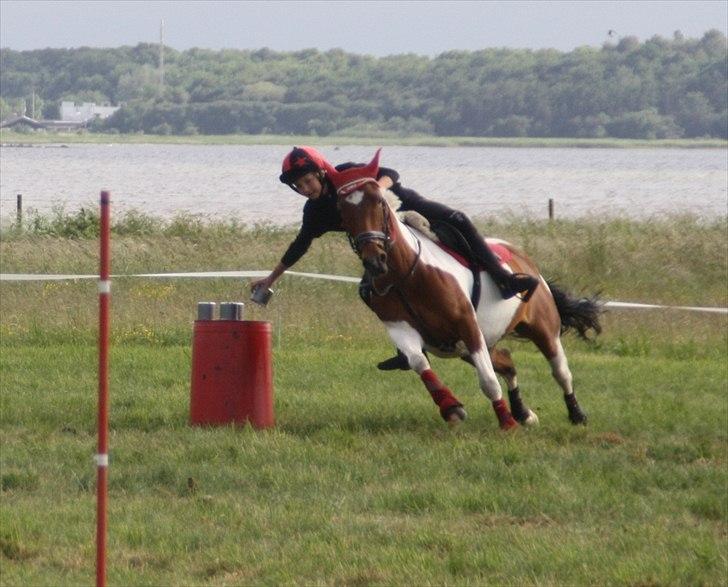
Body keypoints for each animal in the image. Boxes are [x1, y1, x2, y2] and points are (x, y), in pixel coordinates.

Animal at [322, 149, 602, 430]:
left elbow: (488, 382)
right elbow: (419, 362)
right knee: (508, 363)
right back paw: (523, 412)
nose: (375, 261)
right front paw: (451, 407)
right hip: (474, 346)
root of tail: (527, 262)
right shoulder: (400, 327)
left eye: (379, 203)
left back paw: (576, 414)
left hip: (543, 329)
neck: (405, 275)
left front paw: (506, 423)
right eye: (342, 210)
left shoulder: (468, 326)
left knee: (560, 371)